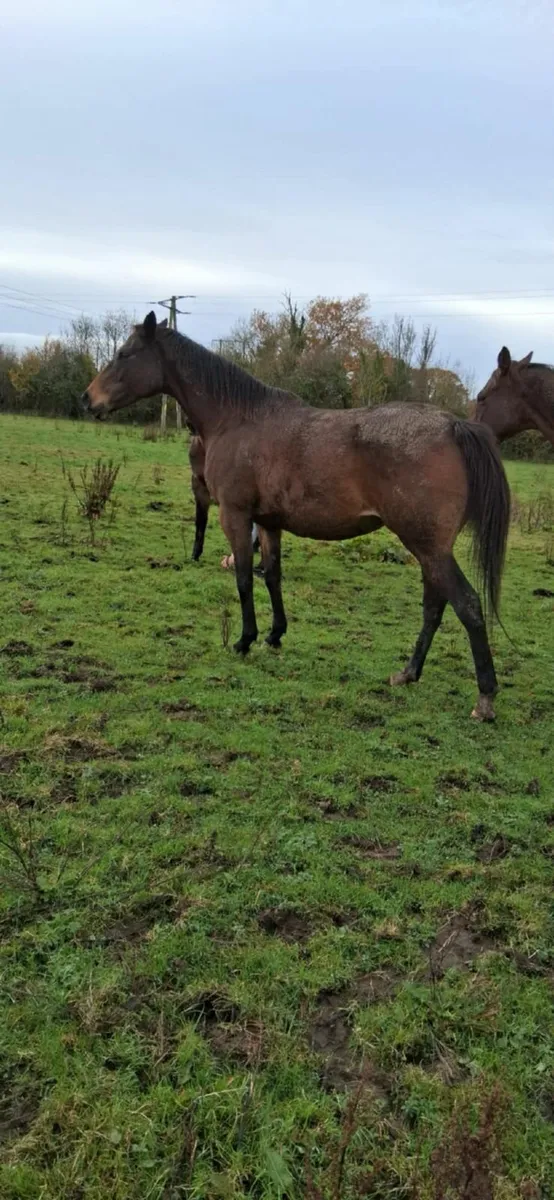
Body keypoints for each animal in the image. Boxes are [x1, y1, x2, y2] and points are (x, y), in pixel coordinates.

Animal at [83, 311, 511, 721]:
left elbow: (243, 578)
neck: (237, 419)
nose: (88, 399)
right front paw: (275, 635)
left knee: (468, 605)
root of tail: (454, 426)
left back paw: (485, 699)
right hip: (428, 550)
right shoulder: (269, 522)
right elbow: (272, 576)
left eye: (124, 353)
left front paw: (244, 640)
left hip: (428, 547)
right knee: (434, 608)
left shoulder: (236, 516)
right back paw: (408, 673)